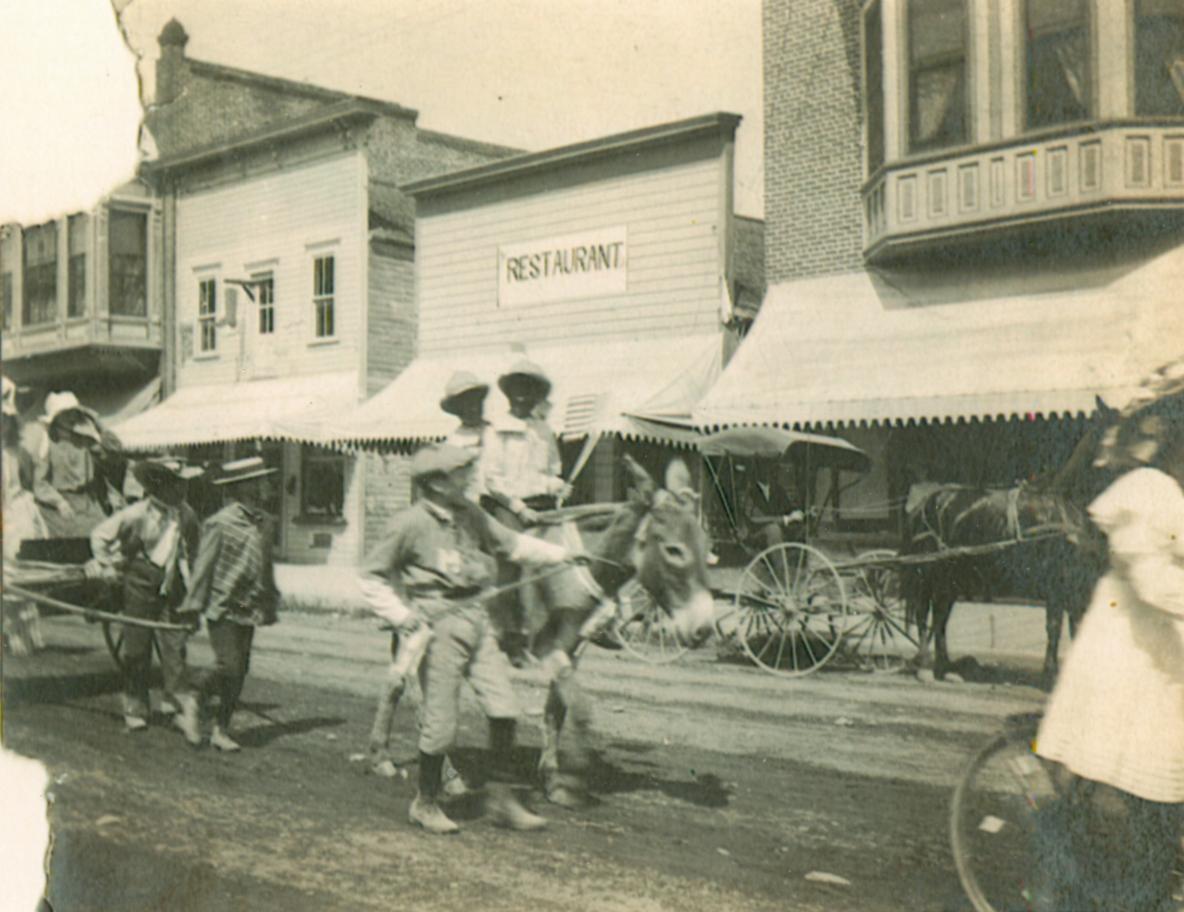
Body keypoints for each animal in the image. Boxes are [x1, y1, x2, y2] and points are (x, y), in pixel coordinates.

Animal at [899, 407, 1112, 686]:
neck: (1063, 510)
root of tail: (926, 503)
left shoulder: (1079, 585)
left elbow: (1075, 626)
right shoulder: (1057, 584)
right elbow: (1055, 627)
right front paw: (1051, 674)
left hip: (952, 578)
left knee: (940, 617)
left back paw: (945, 668)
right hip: (930, 574)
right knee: (925, 614)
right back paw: (927, 666)